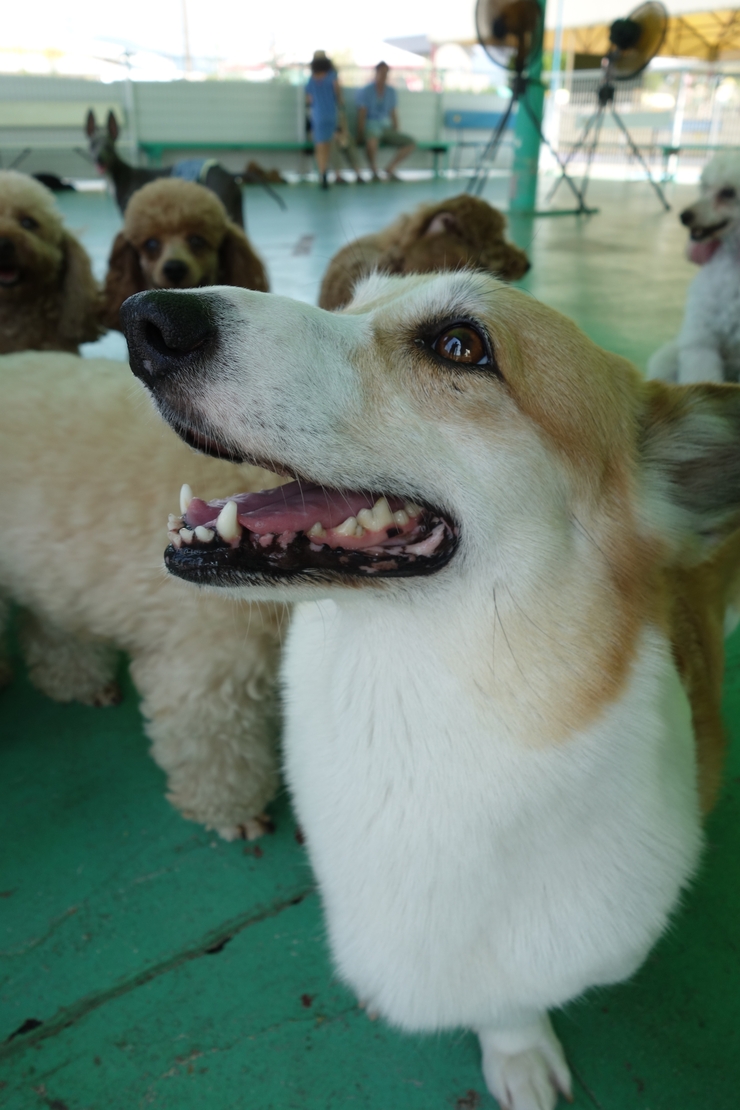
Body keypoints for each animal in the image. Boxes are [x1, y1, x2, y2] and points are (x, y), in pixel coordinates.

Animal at [121, 277, 740, 1110]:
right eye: (350, 301)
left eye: (460, 345)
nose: (146, 319)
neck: (408, 720)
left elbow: (509, 1001)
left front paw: (520, 1056)